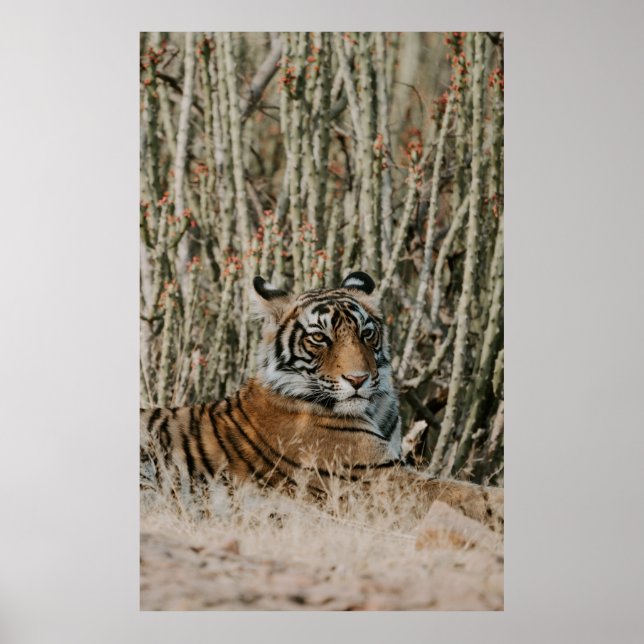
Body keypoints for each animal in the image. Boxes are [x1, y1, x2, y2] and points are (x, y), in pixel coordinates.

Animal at [140, 271, 503, 531]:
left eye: (366, 333)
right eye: (319, 337)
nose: (358, 379)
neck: (375, 408)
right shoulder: (378, 479)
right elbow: (467, 495)